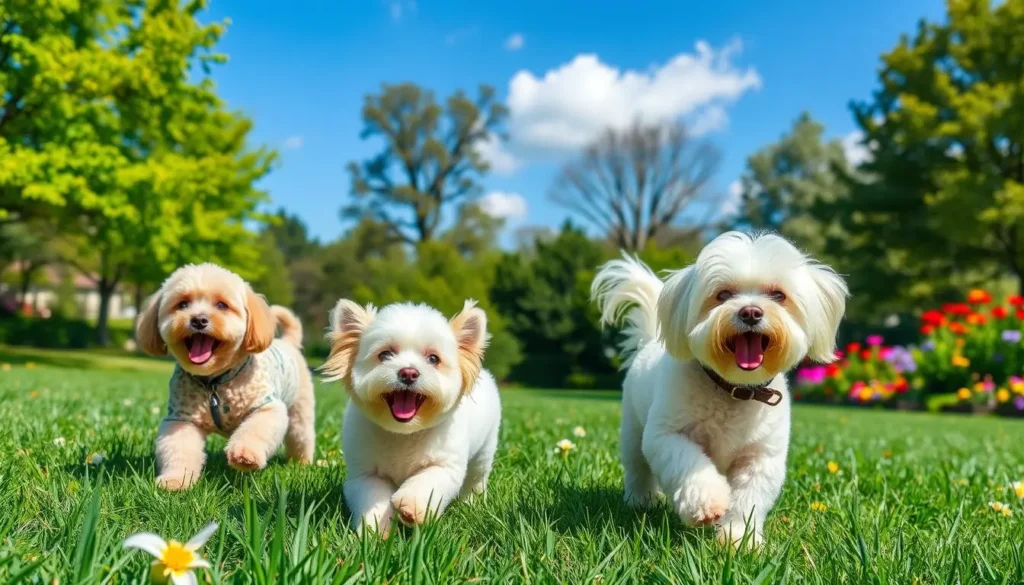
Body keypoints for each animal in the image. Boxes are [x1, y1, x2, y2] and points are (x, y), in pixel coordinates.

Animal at [135, 264, 315, 489]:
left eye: (222, 305)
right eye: (182, 304)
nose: (198, 319)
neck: (214, 382)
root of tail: (288, 342)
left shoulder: (267, 407)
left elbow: (255, 430)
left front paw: (245, 455)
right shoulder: (181, 419)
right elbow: (179, 450)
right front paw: (175, 480)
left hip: (300, 411)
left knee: (301, 436)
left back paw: (302, 464)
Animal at [321, 299, 501, 532]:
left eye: (433, 358)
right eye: (385, 354)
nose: (408, 373)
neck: (404, 433)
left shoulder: (444, 466)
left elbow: (426, 483)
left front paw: (412, 507)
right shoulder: (366, 473)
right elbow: (373, 499)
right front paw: (374, 529)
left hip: (484, 451)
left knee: (476, 477)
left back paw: (471, 502)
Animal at [593, 231, 847, 549]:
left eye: (778, 295)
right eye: (723, 294)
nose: (751, 312)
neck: (733, 389)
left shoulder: (761, 457)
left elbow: (748, 499)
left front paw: (739, 539)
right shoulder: (666, 435)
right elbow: (689, 463)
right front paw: (705, 502)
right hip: (632, 429)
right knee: (637, 467)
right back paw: (642, 500)